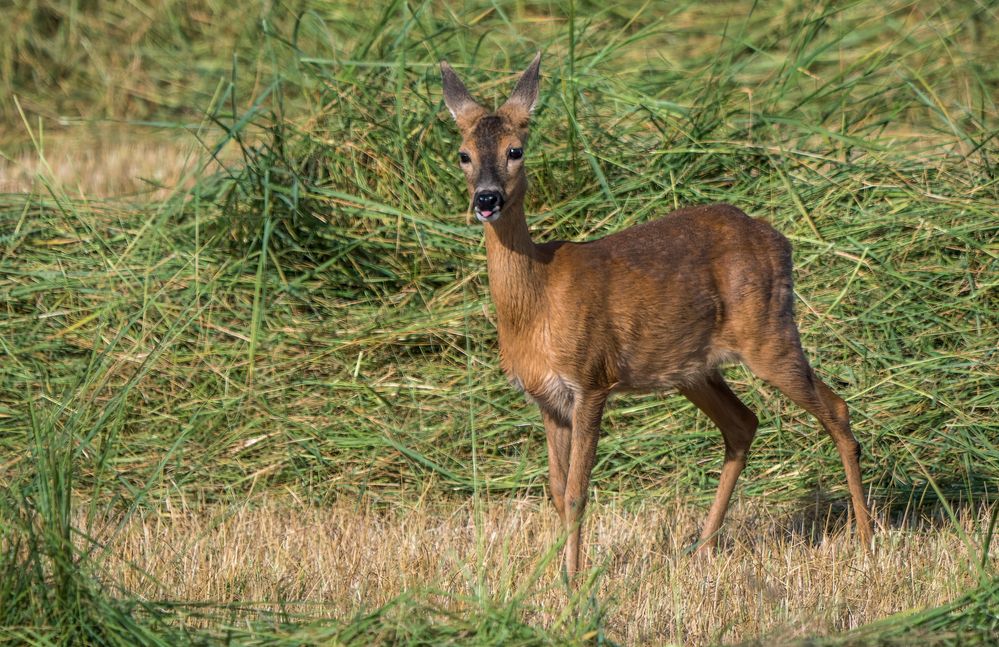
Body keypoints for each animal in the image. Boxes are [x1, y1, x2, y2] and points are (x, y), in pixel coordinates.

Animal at [442, 53, 872, 580]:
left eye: (515, 150)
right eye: (463, 154)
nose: (486, 199)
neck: (538, 300)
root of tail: (780, 239)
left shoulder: (592, 379)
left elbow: (579, 492)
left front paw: (574, 580)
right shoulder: (547, 398)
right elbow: (557, 492)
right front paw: (552, 573)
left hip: (770, 332)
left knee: (836, 409)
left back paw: (867, 542)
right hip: (692, 368)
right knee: (743, 423)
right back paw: (702, 549)